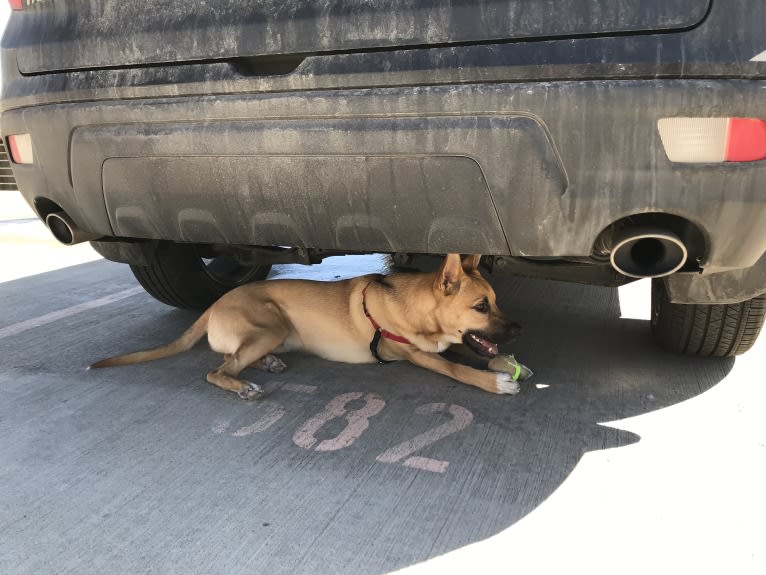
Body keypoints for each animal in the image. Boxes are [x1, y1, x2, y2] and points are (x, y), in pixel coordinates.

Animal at [88, 254, 520, 398]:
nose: (517, 328)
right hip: (271, 326)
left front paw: (504, 363)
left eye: (497, 300)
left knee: (233, 357)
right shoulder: (415, 353)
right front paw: (495, 381)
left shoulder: (445, 343)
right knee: (217, 369)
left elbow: (464, 349)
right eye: (481, 306)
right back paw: (243, 386)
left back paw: (266, 364)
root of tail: (211, 308)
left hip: (269, 335)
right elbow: (455, 366)